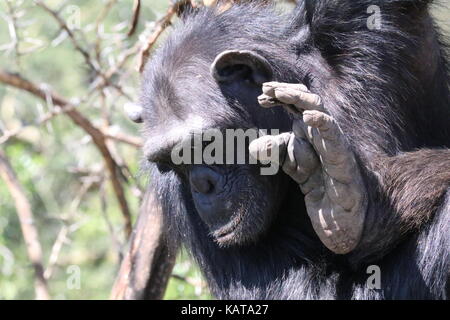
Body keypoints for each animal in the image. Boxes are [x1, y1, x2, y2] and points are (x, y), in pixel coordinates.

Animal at [131, 0, 450, 300]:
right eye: (173, 161)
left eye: (205, 144)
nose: (201, 185)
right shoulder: (174, 195)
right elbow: (297, 289)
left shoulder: (359, 25)